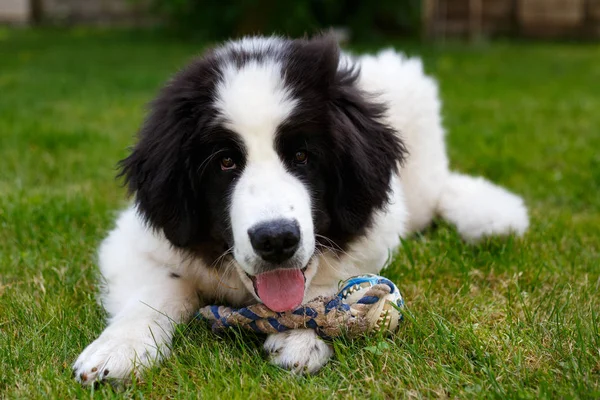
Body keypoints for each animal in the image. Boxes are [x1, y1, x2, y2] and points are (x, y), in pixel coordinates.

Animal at [72, 34, 528, 384]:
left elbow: (324, 284)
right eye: (225, 162)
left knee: (438, 192)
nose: (275, 239)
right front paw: (118, 348)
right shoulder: (132, 242)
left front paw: (301, 337)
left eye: (303, 156)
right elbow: (159, 291)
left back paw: (490, 214)